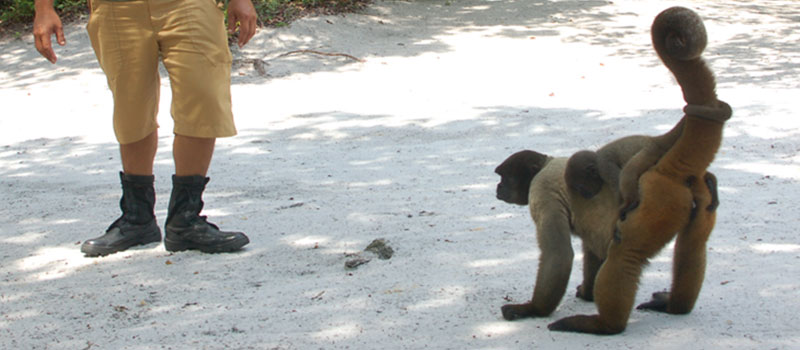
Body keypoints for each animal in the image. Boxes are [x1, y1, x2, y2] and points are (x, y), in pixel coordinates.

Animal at [552, 5, 732, 334]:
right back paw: (676, 306)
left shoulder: (603, 165)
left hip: (658, 195)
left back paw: (604, 325)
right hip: (689, 198)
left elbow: (613, 181)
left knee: (627, 251)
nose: (585, 191)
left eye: (583, 187)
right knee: (695, 242)